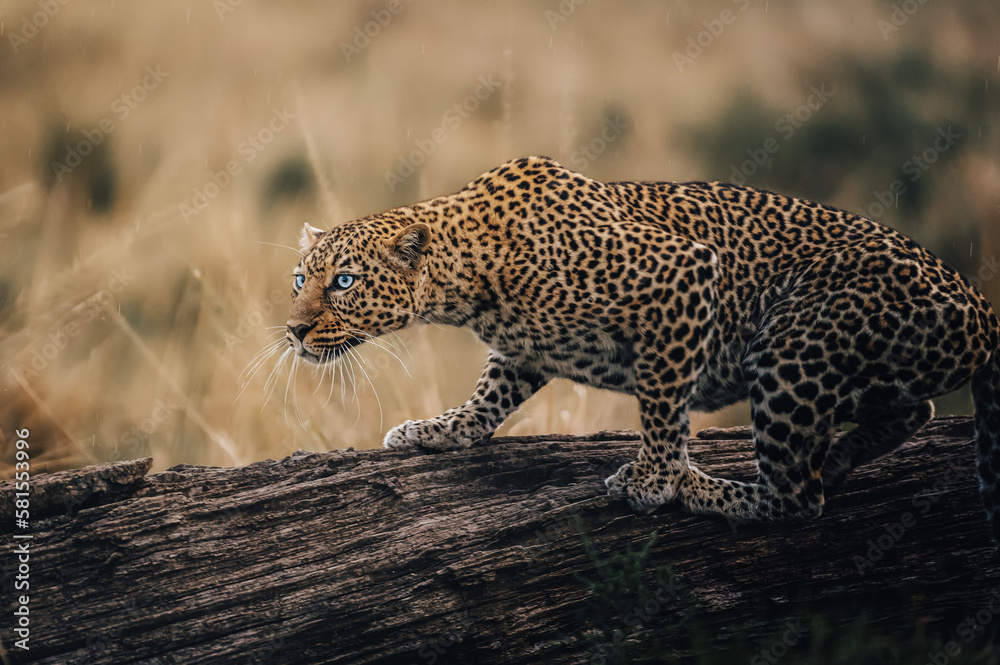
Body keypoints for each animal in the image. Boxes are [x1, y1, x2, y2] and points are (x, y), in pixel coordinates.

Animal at [285, 156, 1000, 545]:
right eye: (299, 279)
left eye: (343, 281)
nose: (292, 330)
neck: (469, 279)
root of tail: (981, 307)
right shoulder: (524, 347)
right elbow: (490, 393)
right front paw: (438, 430)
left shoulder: (682, 281)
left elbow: (661, 403)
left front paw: (654, 479)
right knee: (912, 413)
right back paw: (843, 457)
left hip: (794, 346)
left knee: (797, 497)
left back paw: (704, 489)